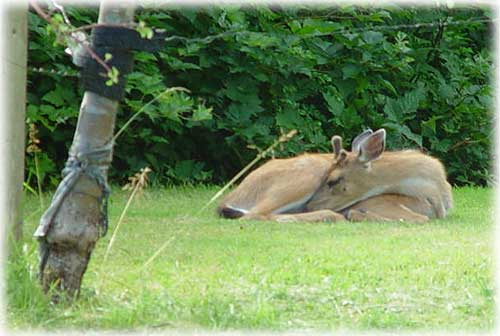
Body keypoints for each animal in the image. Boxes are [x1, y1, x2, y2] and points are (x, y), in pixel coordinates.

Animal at [217, 129, 452, 223]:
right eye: (327, 178)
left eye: (333, 180)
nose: (310, 205)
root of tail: (230, 199)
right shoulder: (380, 202)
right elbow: (419, 218)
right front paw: (357, 215)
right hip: (304, 177)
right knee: (255, 214)